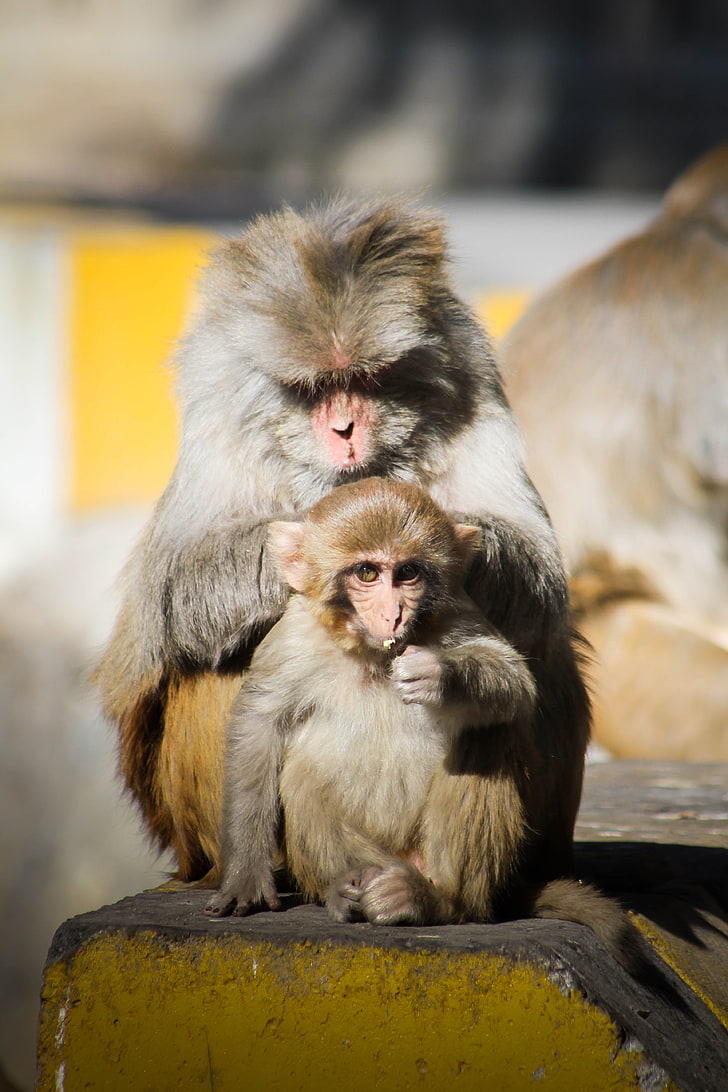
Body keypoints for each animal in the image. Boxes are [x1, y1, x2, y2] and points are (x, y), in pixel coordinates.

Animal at [95, 195, 590, 883]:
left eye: (370, 378)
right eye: (315, 389)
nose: (346, 430)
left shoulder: (480, 414)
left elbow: (541, 587)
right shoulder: (216, 440)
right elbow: (177, 593)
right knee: (218, 660)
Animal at [205, 478, 637, 968]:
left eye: (408, 573)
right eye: (367, 573)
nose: (393, 614)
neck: (372, 654)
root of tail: (405, 863)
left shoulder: (459, 613)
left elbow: (516, 682)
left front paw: (438, 674)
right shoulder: (294, 638)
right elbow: (259, 725)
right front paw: (245, 875)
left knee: (488, 735)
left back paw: (433, 901)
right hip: (369, 852)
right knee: (301, 774)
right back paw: (346, 889)